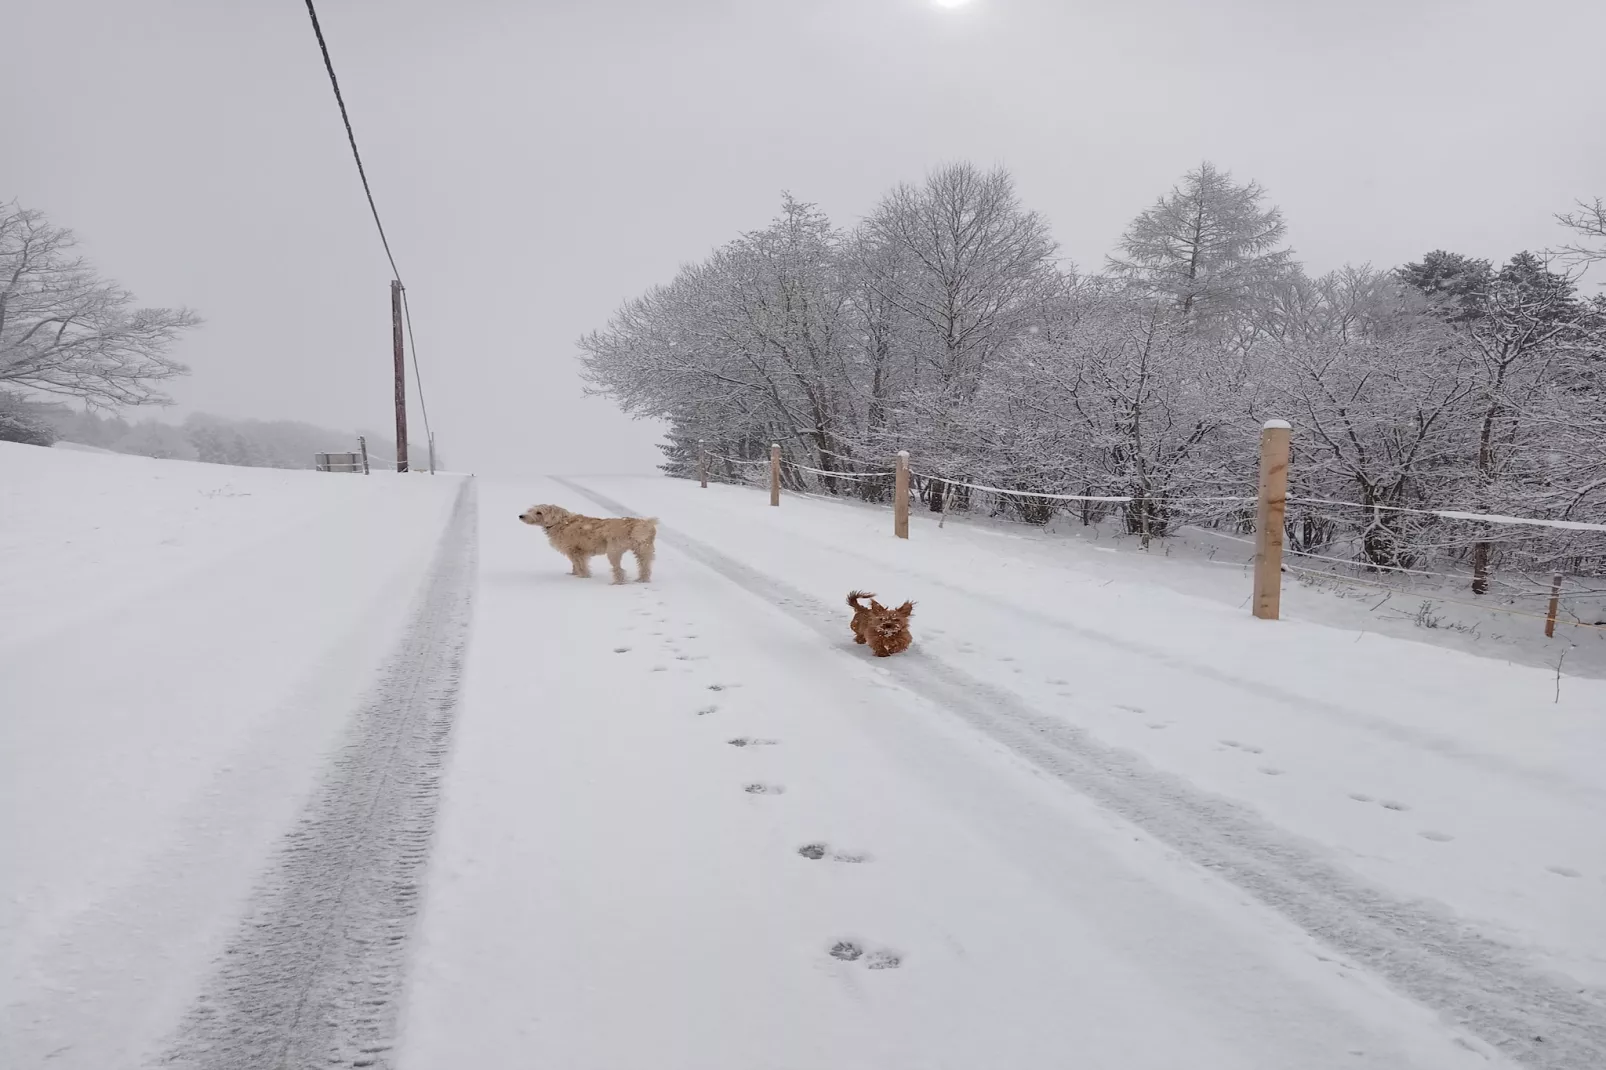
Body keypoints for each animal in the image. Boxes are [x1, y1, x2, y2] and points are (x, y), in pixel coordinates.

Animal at [520, 501, 658, 584]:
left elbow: (580, 565)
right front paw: (573, 574)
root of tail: (641, 524)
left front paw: (583, 577)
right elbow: (575, 565)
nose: (521, 516)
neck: (560, 522)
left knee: (619, 569)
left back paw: (617, 583)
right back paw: (642, 580)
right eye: (530, 510)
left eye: (539, 512)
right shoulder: (576, 552)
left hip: (613, 551)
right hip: (644, 550)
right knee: (645, 567)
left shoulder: (575, 551)